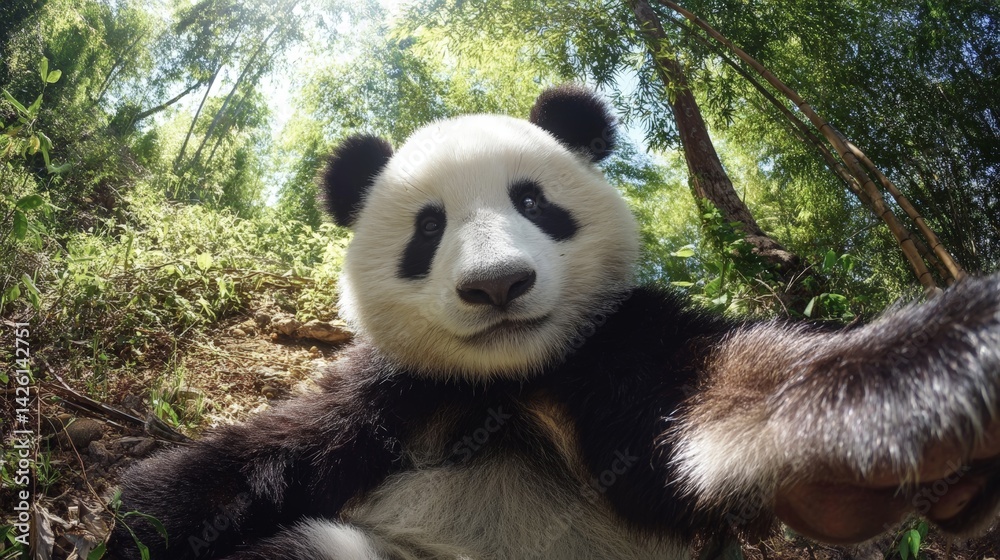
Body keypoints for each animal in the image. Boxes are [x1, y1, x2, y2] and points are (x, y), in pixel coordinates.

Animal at [110, 85, 1000, 560]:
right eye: (427, 229)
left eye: (533, 202)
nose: (496, 285)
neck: (515, 380)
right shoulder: (396, 394)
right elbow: (254, 460)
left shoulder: (617, 355)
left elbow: (736, 394)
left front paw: (938, 380)